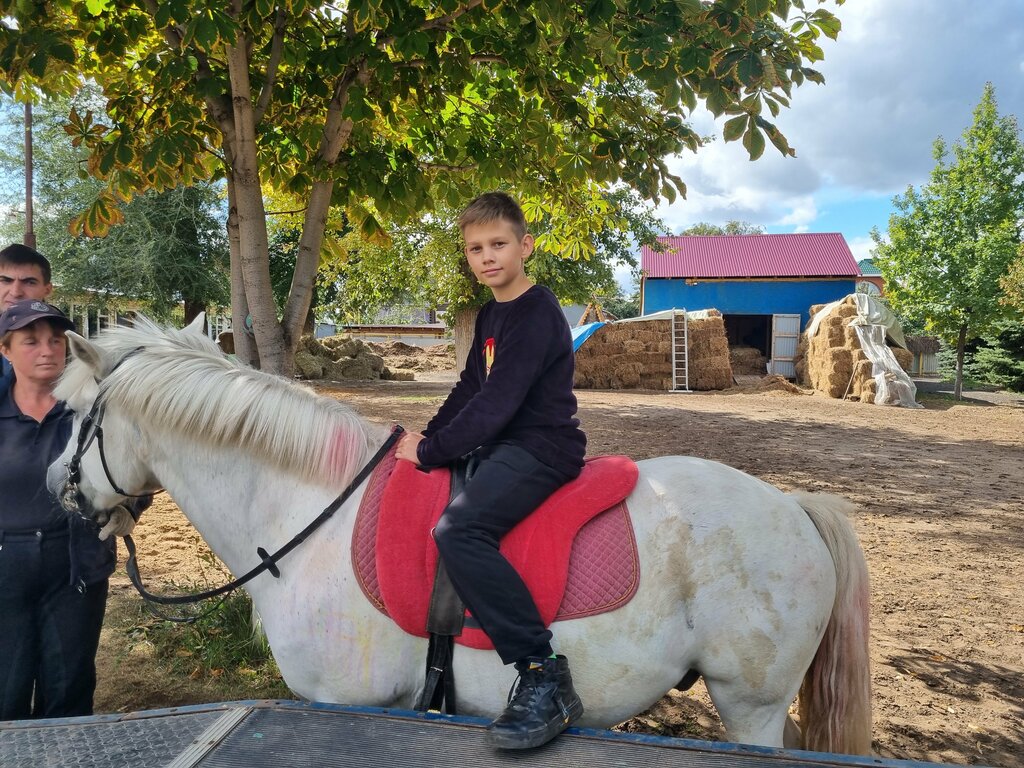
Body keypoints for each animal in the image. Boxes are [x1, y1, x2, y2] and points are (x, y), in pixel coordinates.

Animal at [48, 317, 872, 757]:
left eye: (75, 415)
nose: (61, 486)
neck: (311, 513)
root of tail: (793, 507)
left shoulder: (351, 703)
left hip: (751, 707)